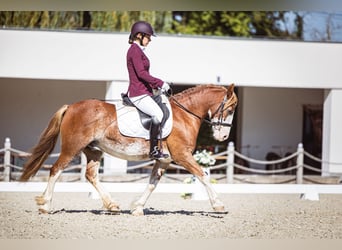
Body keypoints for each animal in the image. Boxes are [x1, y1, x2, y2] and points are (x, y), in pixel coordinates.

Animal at [19, 83, 238, 215]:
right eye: (231, 109)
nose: (223, 137)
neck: (184, 115)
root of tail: (71, 106)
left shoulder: (164, 159)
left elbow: (152, 183)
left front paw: (137, 208)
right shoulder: (182, 156)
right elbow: (203, 175)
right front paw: (219, 205)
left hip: (93, 150)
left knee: (91, 175)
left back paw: (112, 205)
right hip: (72, 148)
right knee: (56, 170)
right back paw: (45, 205)